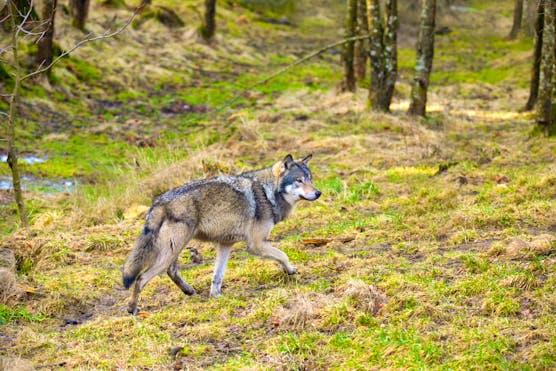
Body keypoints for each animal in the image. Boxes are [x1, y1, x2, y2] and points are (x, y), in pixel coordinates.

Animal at [121, 154, 322, 314]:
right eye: (299, 180)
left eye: (310, 179)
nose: (318, 192)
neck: (268, 193)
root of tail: (158, 202)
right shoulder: (256, 244)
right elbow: (283, 255)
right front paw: (291, 271)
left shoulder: (226, 244)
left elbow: (217, 276)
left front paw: (216, 297)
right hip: (173, 249)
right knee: (141, 278)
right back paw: (132, 309)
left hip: (173, 250)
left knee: (171, 271)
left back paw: (189, 291)